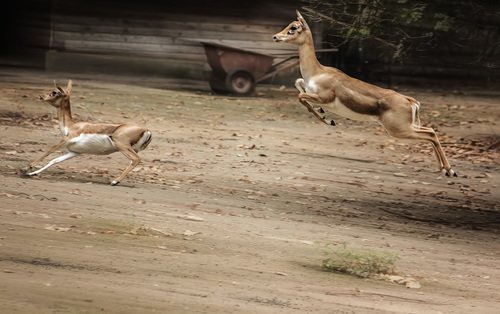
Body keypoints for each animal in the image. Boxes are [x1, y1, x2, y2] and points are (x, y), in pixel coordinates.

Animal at [274, 10, 458, 177]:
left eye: (294, 27)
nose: (275, 37)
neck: (317, 72)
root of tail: (409, 100)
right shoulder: (308, 88)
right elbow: (298, 85)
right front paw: (325, 115)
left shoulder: (325, 97)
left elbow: (301, 96)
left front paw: (328, 120)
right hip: (408, 126)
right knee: (430, 131)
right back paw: (444, 170)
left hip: (399, 129)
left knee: (430, 134)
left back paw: (450, 170)